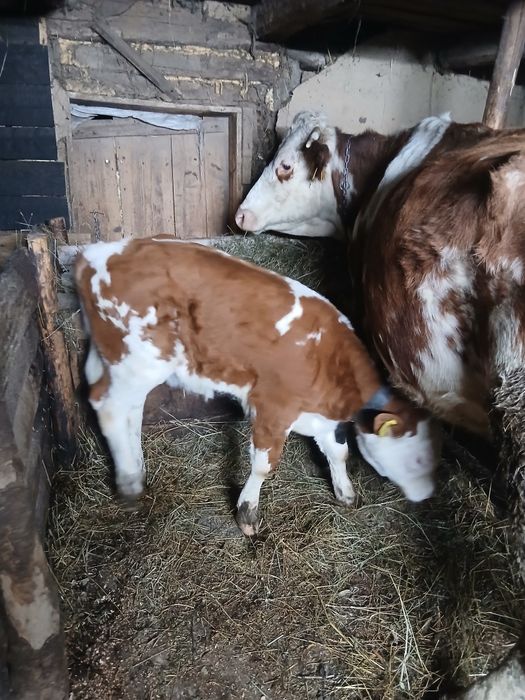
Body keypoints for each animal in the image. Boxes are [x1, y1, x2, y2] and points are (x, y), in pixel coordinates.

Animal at [75, 238, 440, 536]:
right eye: (418, 459)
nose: (427, 497)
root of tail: (94, 254)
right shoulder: (273, 407)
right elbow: (264, 465)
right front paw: (247, 514)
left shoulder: (321, 417)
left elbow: (339, 451)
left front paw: (345, 493)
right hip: (138, 360)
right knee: (109, 407)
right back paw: (129, 483)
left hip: (121, 360)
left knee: (127, 409)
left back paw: (137, 467)